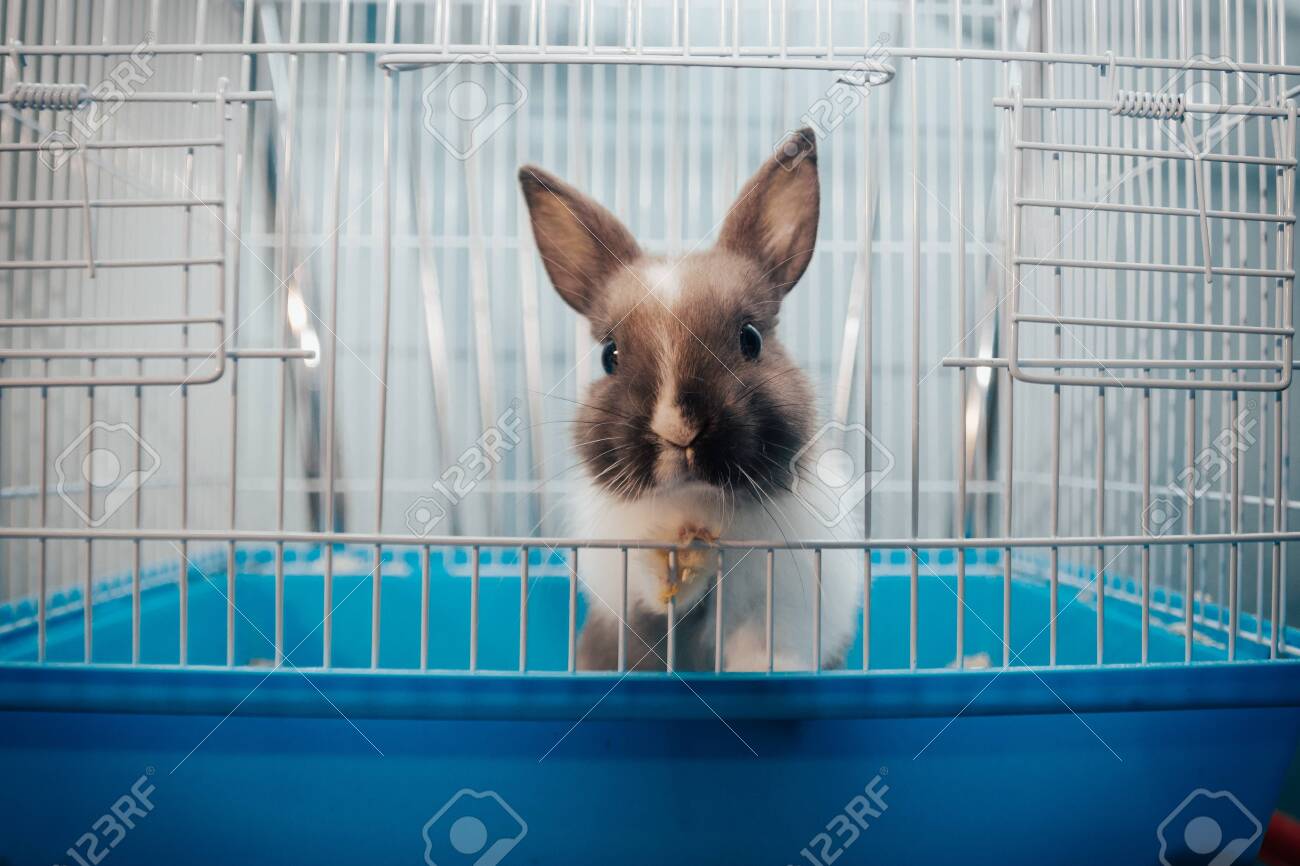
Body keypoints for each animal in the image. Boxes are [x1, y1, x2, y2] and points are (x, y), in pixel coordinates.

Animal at [518, 127, 860, 672]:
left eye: (750, 339)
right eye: (610, 355)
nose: (678, 430)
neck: (697, 504)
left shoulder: (775, 611)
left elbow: (762, 649)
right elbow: (655, 595)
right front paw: (675, 566)